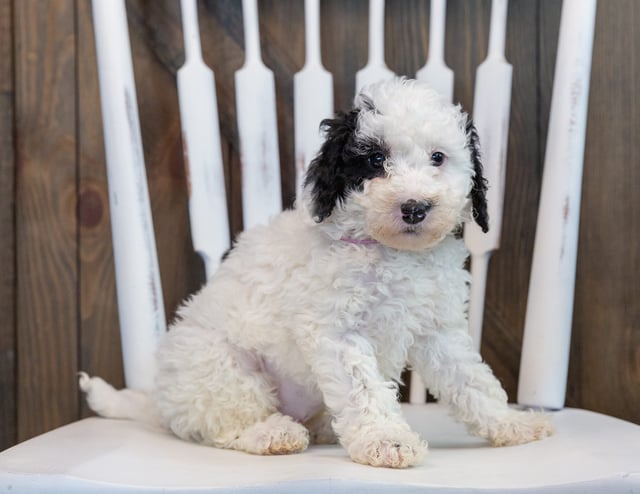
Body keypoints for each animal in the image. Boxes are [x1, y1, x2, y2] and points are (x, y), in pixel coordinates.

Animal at [82, 79, 552, 468]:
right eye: (375, 159)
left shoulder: (438, 328)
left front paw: (511, 424)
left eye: (438, 158)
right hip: (220, 368)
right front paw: (386, 440)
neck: (392, 251)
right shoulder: (337, 330)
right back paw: (272, 432)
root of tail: (160, 403)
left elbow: (471, 380)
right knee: (223, 423)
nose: (415, 207)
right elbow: (364, 390)